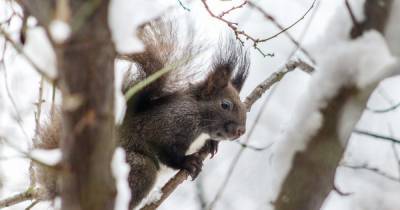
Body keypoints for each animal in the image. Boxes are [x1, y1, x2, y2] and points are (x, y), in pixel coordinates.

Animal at [33, 19, 250, 208]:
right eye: (225, 105)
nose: (241, 131)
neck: (199, 118)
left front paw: (212, 144)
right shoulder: (168, 124)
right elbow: (166, 151)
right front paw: (187, 162)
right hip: (136, 168)